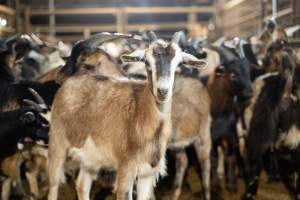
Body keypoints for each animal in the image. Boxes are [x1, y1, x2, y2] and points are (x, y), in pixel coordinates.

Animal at [47, 30, 206, 200]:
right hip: (57, 142)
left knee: (82, 185)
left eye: (179, 64)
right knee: (54, 184)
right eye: (146, 62)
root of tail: (70, 82)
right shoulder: (126, 169)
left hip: (90, 158)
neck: (140, 113)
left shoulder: (148, 174)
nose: (162, 91)